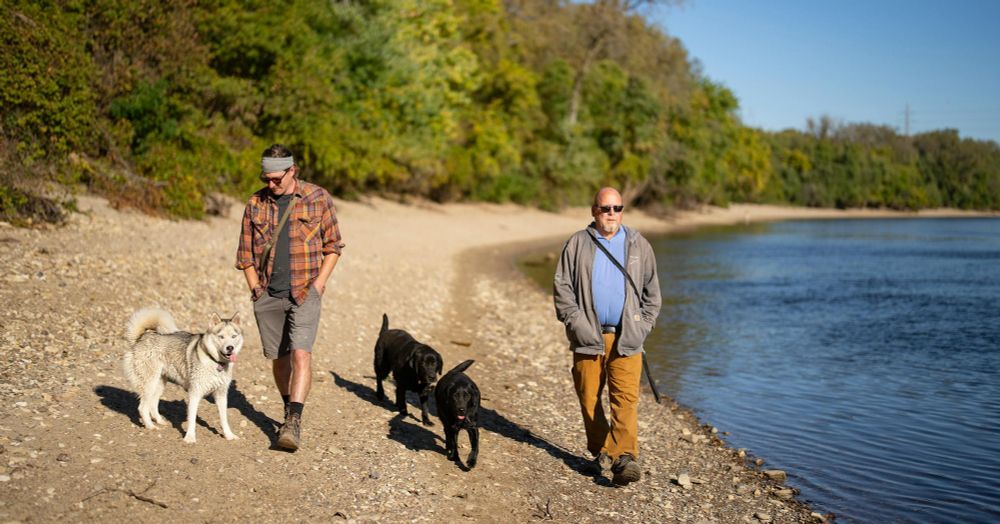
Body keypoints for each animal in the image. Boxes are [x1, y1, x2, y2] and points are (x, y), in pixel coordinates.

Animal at [123, 308, 244, 442]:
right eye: (221, 336)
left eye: (234, 336)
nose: (230, 348)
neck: (215, 362)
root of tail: (139, 339)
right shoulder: (195, 393)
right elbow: (192, 418)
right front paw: (190, 438)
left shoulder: (221, 394)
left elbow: (224, 419)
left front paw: (229, 436)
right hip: (150, 383)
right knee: (143, 407)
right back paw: (151, 426)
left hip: (159, 384)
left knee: (153, 404)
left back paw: (160, 421)